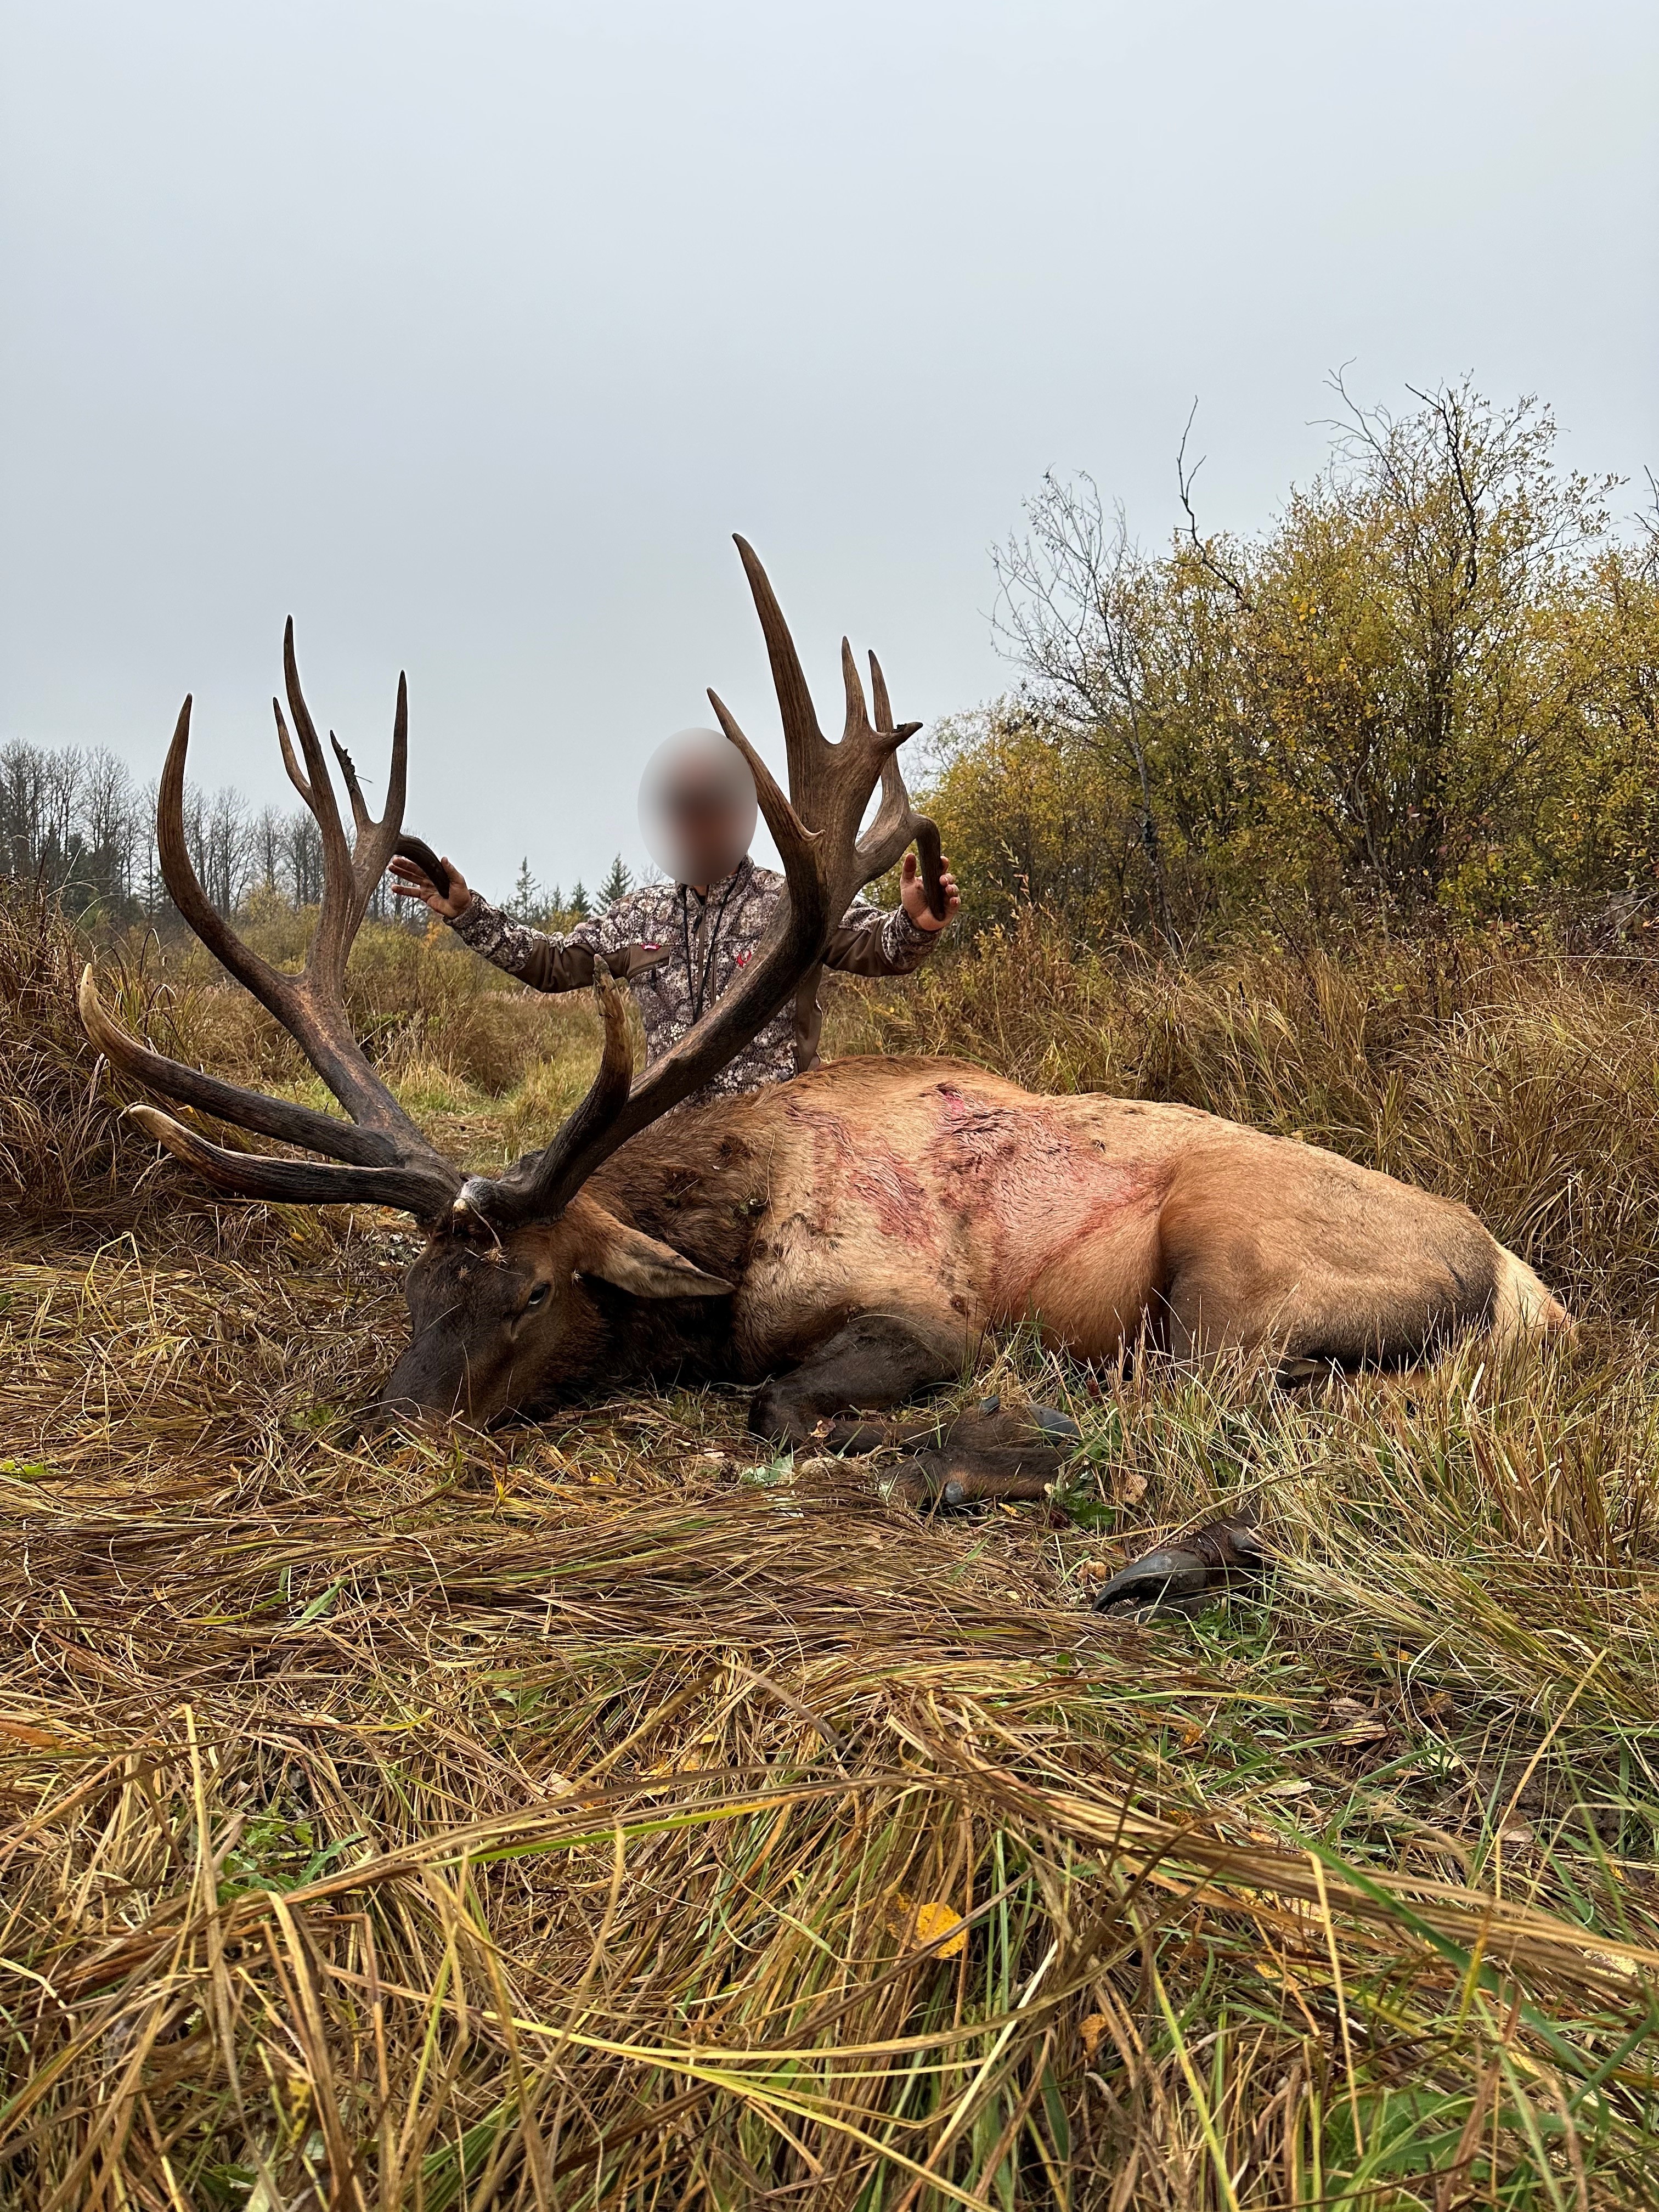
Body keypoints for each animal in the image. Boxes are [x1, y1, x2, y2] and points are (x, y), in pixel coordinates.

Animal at [79, 541, 1570, 1617]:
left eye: (536, 1290)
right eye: (414, 1286)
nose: (392, 1439)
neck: (731, 1227)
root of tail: (1525, 1290)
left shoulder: (921, 1309)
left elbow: (779, 1396)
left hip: (1237, 1263)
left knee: (1206, 1417)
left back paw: (1006, 1474)